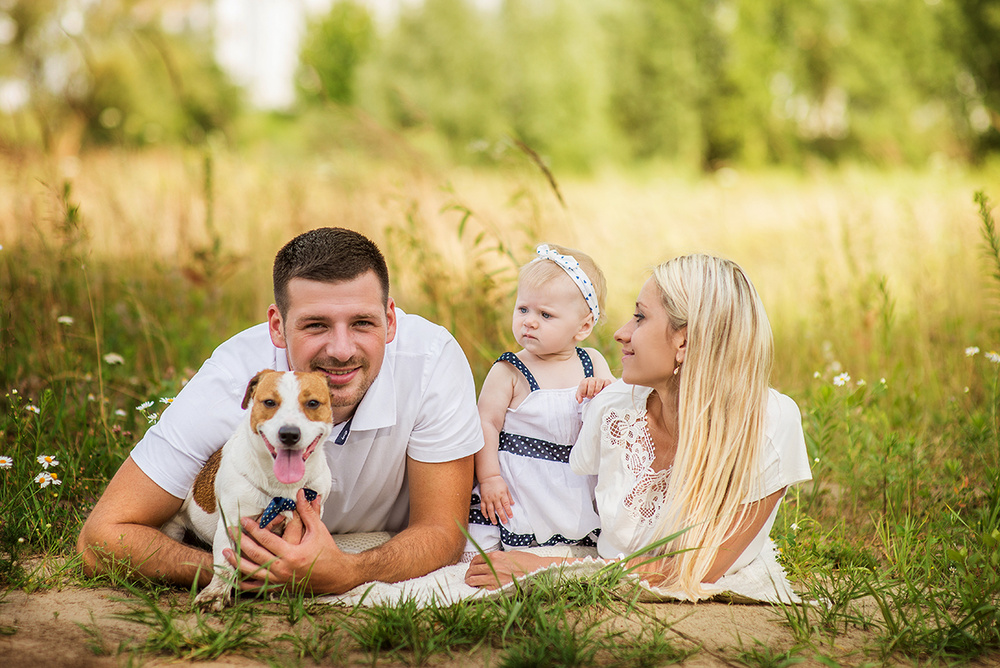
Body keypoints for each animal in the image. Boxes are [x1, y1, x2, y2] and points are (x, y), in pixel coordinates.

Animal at [163, 370, 336, 612]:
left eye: (313, 403)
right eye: (269, 402)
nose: (289, 434)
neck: (281, 488)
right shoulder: (231, 523)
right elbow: (225, 562)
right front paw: (215, 593)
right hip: (173, 528)